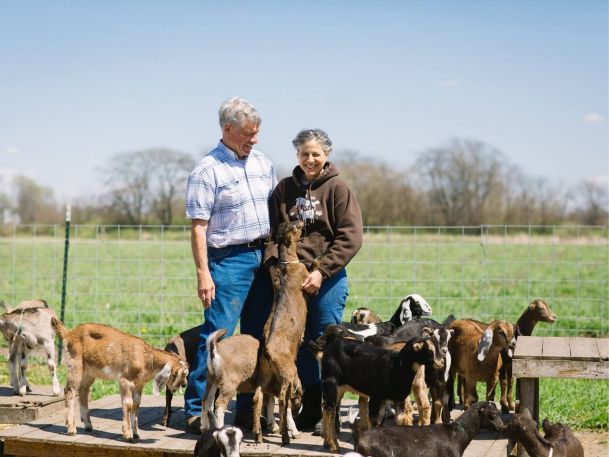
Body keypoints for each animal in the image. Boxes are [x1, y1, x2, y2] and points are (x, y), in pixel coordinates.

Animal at [53, 316, 189, 440]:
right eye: (177, 374)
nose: (184, 385)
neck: (145, 358)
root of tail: (69, 334)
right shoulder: (125, 380)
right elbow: (128, 404)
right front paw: (127, 435)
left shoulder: (139, 384)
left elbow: (137, 404)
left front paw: (137, 433)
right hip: (75, 363)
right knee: (69, 390)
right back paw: (71, 429)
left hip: (89, 371)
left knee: (83, 390)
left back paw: (88, 425)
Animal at [251, 219, 308, 444]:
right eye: (295, 227)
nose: (301, 221)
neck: (286, 265)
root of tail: (267, 350)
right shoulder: (304, 274)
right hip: (288, 372)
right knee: (284, 398)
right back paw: (287, 433)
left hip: (266, 375)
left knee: (260, 396)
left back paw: (261, 433)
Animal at [318, 324, 442, 452]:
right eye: (430, 350)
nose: (442, 361)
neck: (397, 366)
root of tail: (332, 344)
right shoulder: (376, 397)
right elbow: (374, 420)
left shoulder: (399, 398)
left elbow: (401, 419)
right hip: (331, 383)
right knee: (330, 410)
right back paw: (334, 446)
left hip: (340, 388)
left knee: (326, 408)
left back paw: (326, 441)